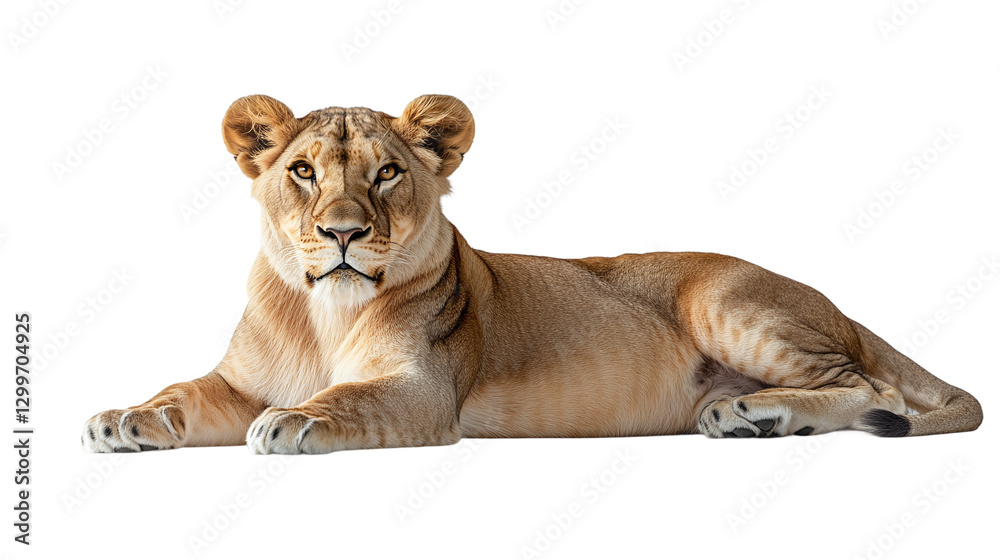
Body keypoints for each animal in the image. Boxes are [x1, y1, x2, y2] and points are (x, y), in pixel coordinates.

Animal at [82, 94, 982, 454]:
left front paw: (297, 420)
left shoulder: (422, 393)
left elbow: (346, 399)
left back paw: (753, 414)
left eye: (386, 174)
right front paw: (122, 418)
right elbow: (179, 392)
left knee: (876, 389)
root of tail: (836, 305)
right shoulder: (237, 382)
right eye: (303, 172)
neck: (324, 311)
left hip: (729, 304)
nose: (342, 232)